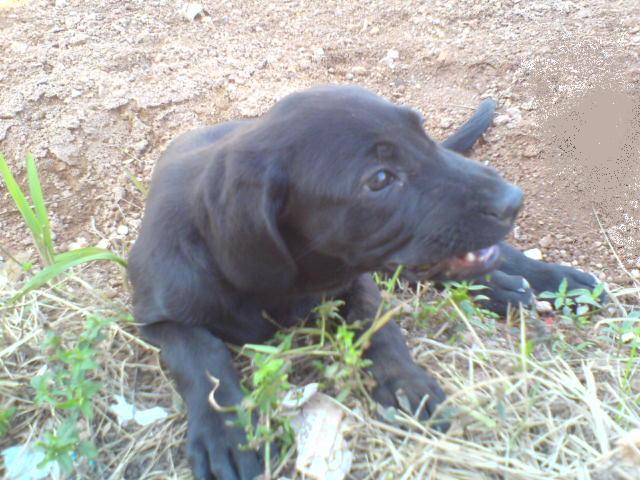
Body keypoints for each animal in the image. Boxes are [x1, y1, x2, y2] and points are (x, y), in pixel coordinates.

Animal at [128, 85, 602, 480]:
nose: (513, 200)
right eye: (379, 179)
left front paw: (406, 382)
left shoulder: (355, 285)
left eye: (423, 134)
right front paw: (225, 431)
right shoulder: (155, 319)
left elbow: (379, 327)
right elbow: (200, 356)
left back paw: (549, 282)